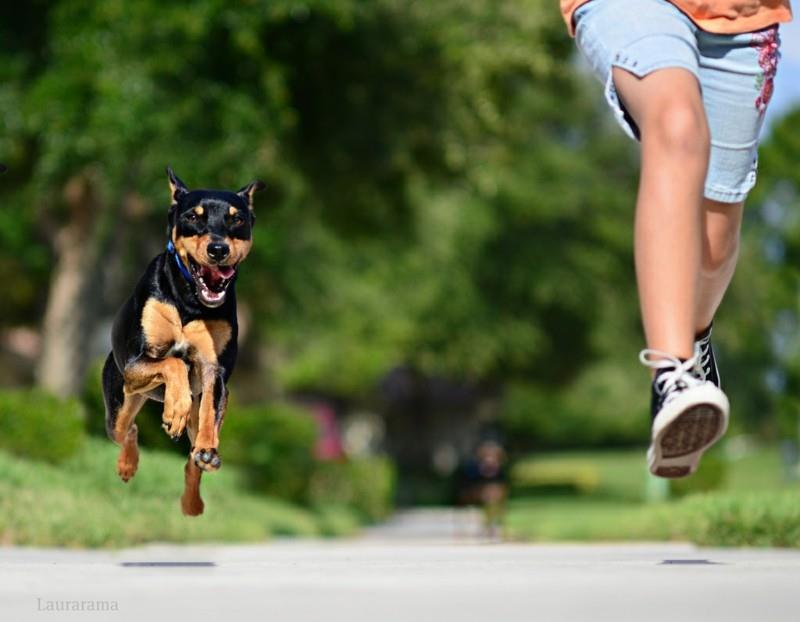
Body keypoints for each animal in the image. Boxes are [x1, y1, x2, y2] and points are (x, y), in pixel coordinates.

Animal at [101, 169, 264, 516]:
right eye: (193, 216)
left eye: (236, 219)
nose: (218, 249)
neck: (190, 299)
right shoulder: (137, 361)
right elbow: (174, 362)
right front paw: (174, 408)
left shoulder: (215, 369)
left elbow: (207, 411)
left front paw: (204, 444)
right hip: (121, 399)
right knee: (127, 429)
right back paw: (127, 465)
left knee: (192, 460)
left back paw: (193, 500)